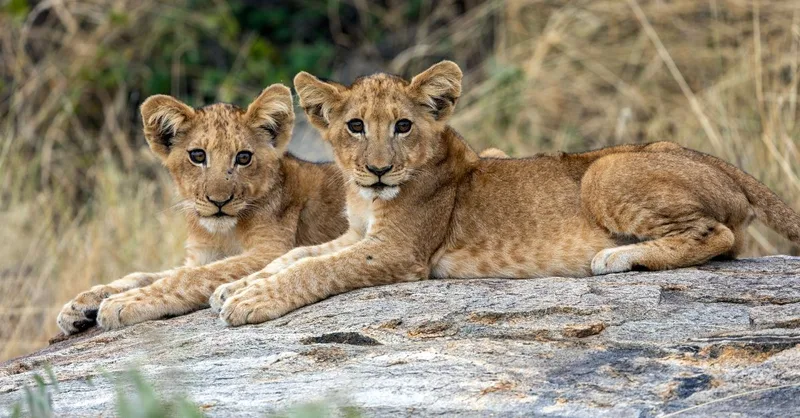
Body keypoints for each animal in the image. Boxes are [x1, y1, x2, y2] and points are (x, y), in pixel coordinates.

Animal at [56, 85, 349, 334]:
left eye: (243, 157)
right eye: (197, 156)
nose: (219, 201)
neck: (221, 232)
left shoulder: (273, 251)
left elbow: (189, 277)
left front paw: (123, 302)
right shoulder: (202, 255)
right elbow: (147, 274)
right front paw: (82, 303)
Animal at [209, 61, 800, 326]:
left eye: (403, 126)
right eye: (355, 127)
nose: (378, 170)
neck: (368, 197)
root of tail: (716, 161)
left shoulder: (400, 252)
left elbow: (317, 269)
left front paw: (251, 301)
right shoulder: (357, 234)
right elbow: (298, 255)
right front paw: (235, 286)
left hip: (604, 171)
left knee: (718, 235)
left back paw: (618, 257)